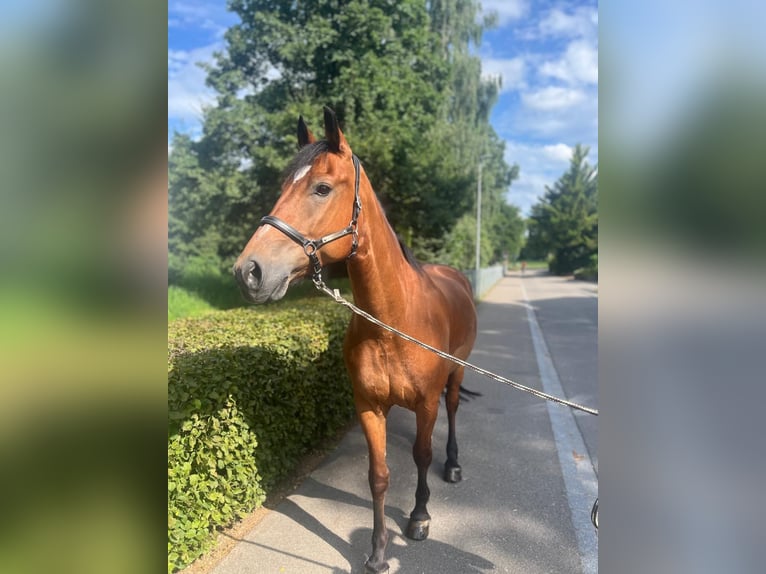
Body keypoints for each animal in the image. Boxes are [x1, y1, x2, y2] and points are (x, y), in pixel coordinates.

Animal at [232, 109, 480, 574]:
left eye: (322, 188)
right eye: (282, 187)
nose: (249, 272)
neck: (392, 324)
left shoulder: (425, 404)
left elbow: (421, 455)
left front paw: (419, 517)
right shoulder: (368, 406)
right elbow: (378, 476)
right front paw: (379, 552)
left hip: (457, 368)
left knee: (454, 408)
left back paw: (454, 465)